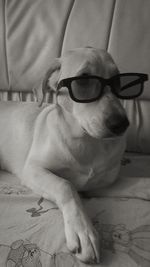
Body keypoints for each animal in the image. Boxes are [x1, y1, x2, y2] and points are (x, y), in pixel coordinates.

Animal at [0, 47, 129, 264]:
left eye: (118, 81)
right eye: (83, 81)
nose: (121, 124)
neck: (85, 141)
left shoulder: (107, 181)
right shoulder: (33, 169)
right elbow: (65, 185)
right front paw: (83, 231)